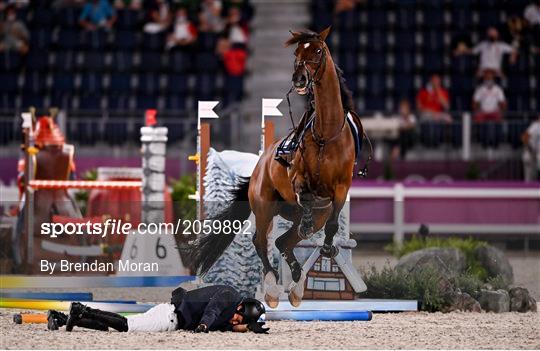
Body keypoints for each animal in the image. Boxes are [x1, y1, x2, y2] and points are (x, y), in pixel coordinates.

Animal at [192, 28, 360, 308]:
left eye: (318, 51)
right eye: (296, 52)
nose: (300, 79)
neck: (326, 134)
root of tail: (258, 166)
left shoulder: (340, 187)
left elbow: (333, 224)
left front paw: (327, 249)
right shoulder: (298, 180)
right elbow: (304, 192)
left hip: (301, 213)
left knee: (284, 241)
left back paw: (296, 286)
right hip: (264, 207)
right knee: (261, 241)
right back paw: (272, 288)